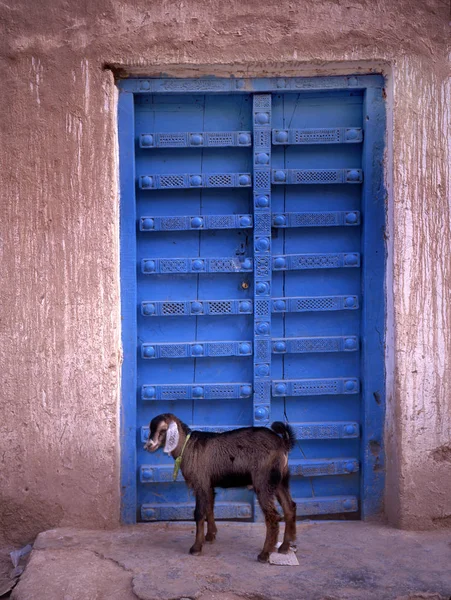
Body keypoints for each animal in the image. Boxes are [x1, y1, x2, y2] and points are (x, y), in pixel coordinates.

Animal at [145, 412, 298, 564]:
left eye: (163, 430)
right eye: (151, 429)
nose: (148, 446)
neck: (187, 447)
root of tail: (283, 443)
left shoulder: (201, 483)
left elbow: (199, 513)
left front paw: (196, 547)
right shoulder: (208, 485)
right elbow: (209, 508)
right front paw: (210, 535)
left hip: (264, 481)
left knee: (273, 516)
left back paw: (264, 554)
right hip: (280, 481)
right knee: (289, 507)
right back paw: (285, 546)